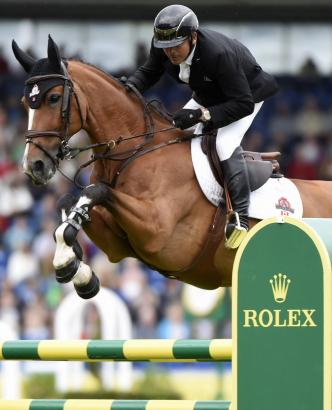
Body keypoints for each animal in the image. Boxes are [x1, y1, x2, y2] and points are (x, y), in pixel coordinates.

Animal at [11, 35, 332, 298]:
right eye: (25, 102)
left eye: (54, 98)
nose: (33, 166)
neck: (135, 152)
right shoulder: (117, 246)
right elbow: (70, 200)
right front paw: (77, 270)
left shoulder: (158, 233)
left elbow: (96, 191)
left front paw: (67, 261)